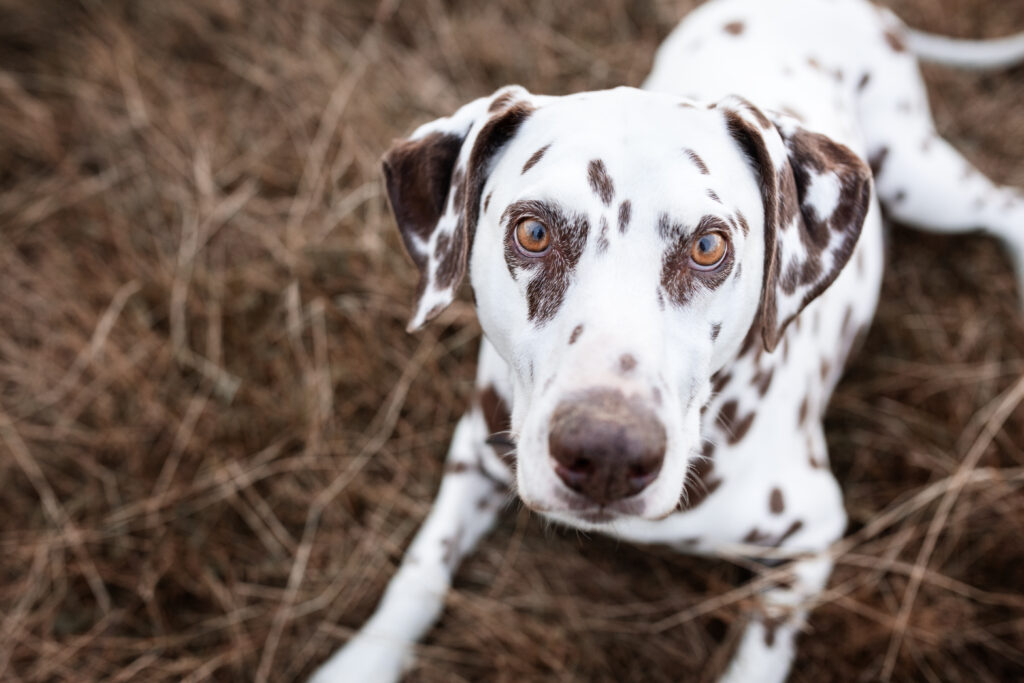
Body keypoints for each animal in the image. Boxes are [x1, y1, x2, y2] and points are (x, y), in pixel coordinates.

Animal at [311, 0, 1024, 679]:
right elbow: (422, 567)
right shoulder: (475, 451)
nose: (607, 453)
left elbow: (760, 653)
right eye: (533, 232)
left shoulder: (813, 538)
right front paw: (361, 662)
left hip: (916, 175)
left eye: (709, 245)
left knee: (1003, 204)